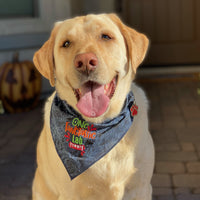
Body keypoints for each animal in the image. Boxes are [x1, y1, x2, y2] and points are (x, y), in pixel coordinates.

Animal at [32, 14, 155, 200]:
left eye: (106, 36)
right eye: (66, 43)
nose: (84, 62)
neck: (100, 127)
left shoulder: (141, 188)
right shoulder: (71, 194)